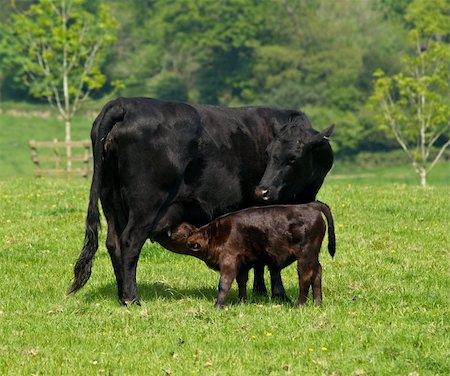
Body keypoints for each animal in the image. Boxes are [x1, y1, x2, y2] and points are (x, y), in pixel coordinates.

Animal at [171, 201, 336, 306]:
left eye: (182, 234)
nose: (171, 232)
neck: (214, 235)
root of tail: (309, 205)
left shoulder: (229, 261)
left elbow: (224, 283)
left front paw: (218, 306)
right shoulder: (243, 264)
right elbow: (242, 282)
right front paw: (242, 302)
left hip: (305, 256)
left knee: (305, 276)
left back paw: (300, 305)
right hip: (313, 256)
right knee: (317, 272)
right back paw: (317, 303)